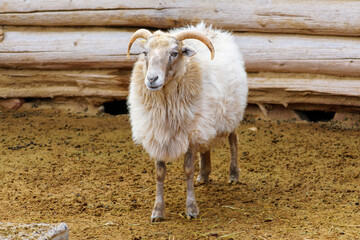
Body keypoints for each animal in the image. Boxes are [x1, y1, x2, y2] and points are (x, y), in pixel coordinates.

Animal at [126, 22, 248, 221]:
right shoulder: (157, 133)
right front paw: (158, 211)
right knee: (206, 147)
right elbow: (159, 174)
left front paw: (191, 209)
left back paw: (233, 175)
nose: (152, 79)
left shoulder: (190, 134)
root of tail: (208, 28)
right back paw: (204, 175)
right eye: (145, 52)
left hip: (229, 114)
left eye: (175, 53)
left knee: (234, 140)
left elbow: (188, 170)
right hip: (205, 121)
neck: (165, 103)